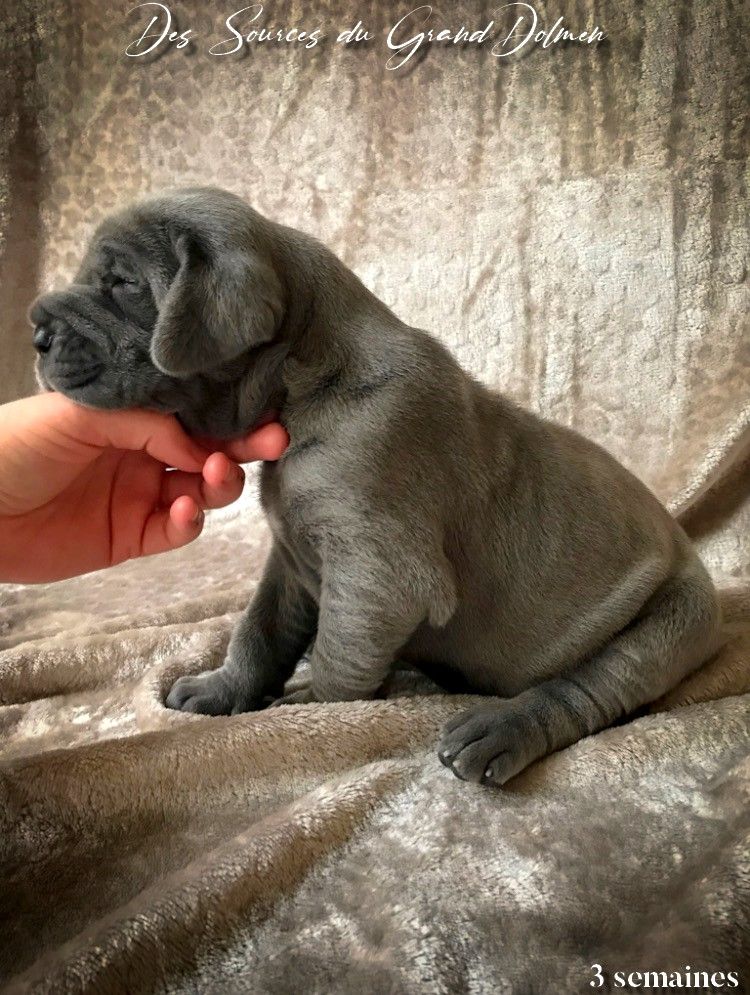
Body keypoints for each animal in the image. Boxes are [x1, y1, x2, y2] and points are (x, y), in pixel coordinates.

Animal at [29, 189, 724, 784]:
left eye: (122, 285)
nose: (34, 330)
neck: (303, 381)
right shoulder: (293, 559)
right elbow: (259, 630)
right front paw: (222, 689)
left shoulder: (376, 570)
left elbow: (339, 658)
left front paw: (309, 708)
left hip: (669, 625)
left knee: (585, 691)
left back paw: (494, 729)